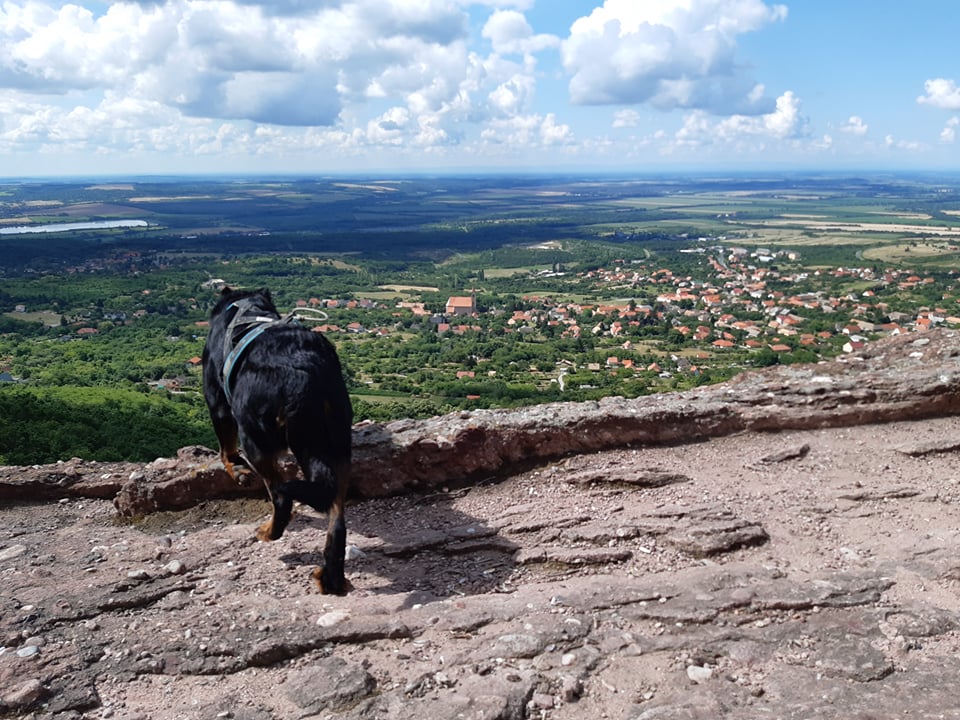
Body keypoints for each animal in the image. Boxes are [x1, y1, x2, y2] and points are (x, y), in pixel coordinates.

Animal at [202, 290, 352, 592]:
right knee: (336, 516)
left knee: (281, 497)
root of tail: (304, 375)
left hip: (256, 439)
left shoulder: (218, 401)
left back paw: (269, 532)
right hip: (334, 443)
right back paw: (331, 578)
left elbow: (226, 447)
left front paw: (234, 467)